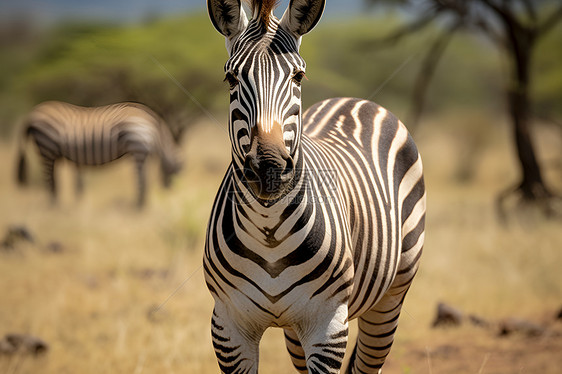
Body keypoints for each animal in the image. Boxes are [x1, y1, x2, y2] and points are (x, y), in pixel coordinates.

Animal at [16, 101, 180, 207]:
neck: (155, 134)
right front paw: (140, 206)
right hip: (47, 148)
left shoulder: (142, 152)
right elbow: (142, 179)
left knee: (53, 180)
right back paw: (53, 206)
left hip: (49, 150)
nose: (170, 195)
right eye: (178, 170)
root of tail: (31, 115)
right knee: (49, 179)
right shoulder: (139, 149)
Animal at [202, 1, 424, 372]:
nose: (269, 169)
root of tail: (354, 100)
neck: (268, 230)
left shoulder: (328, 325)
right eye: (231, 78)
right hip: (295, 330)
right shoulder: (229, 327)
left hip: (391, 297)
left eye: (298, 76)